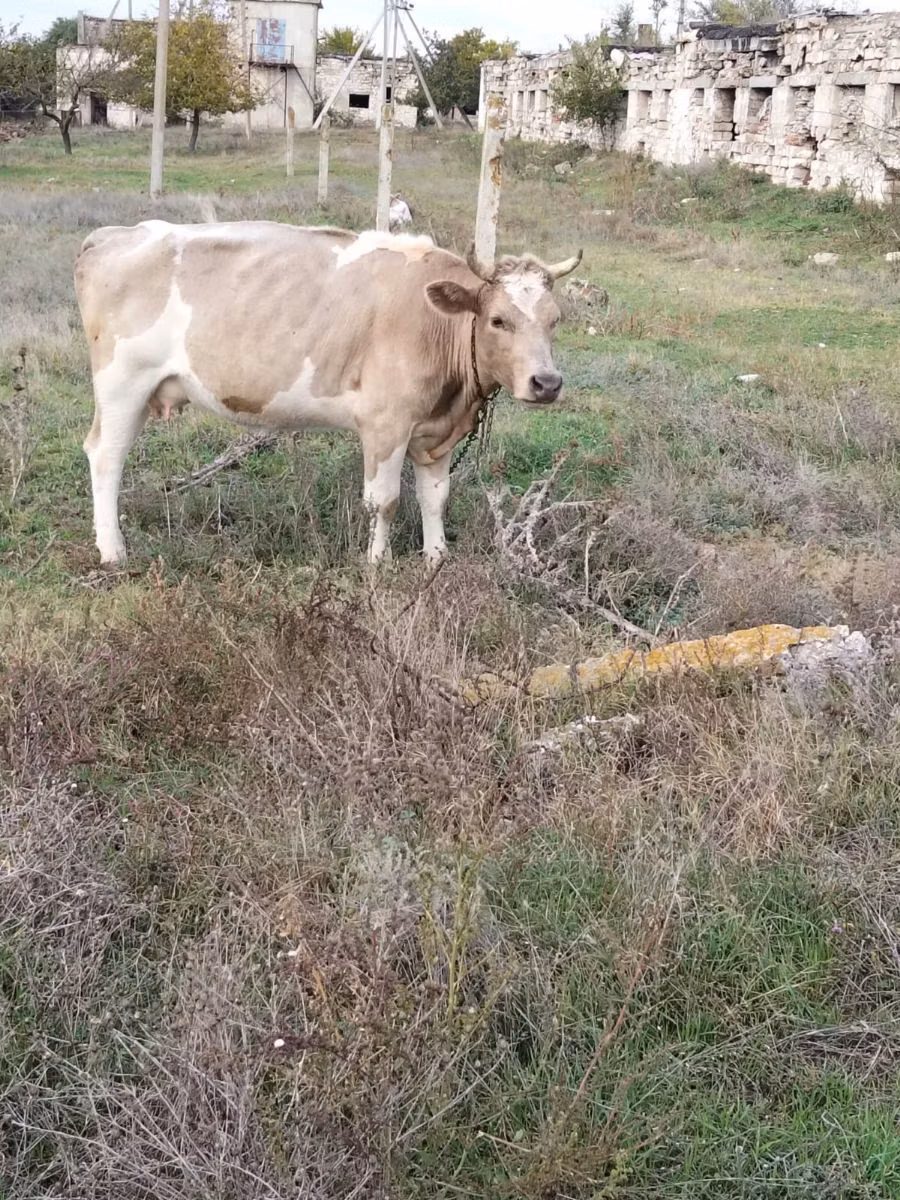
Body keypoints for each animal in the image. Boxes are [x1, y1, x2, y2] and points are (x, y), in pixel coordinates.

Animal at [74, 221, 582, 567]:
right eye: (498, 320)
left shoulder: (435, 431)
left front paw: (436, 558)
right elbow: (385, 500)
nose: (546, 383)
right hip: (123, 383)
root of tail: (112, 235)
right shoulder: (384, 423)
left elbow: (434, 498)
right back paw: (112, 549)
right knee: (106, 456)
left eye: (555, 320)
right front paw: (378, 562)